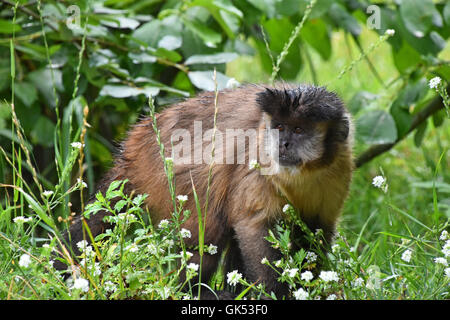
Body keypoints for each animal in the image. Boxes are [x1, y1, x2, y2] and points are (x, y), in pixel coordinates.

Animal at [56, 84, 354, 298]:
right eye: (279, 127)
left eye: (299, 129)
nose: (283, 144)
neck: (302, 174)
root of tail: (136, 145)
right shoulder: (259, 158)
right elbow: (254, 225)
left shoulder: (339, 170)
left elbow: (317, 231)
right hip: (164, 174)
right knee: (209, 228)